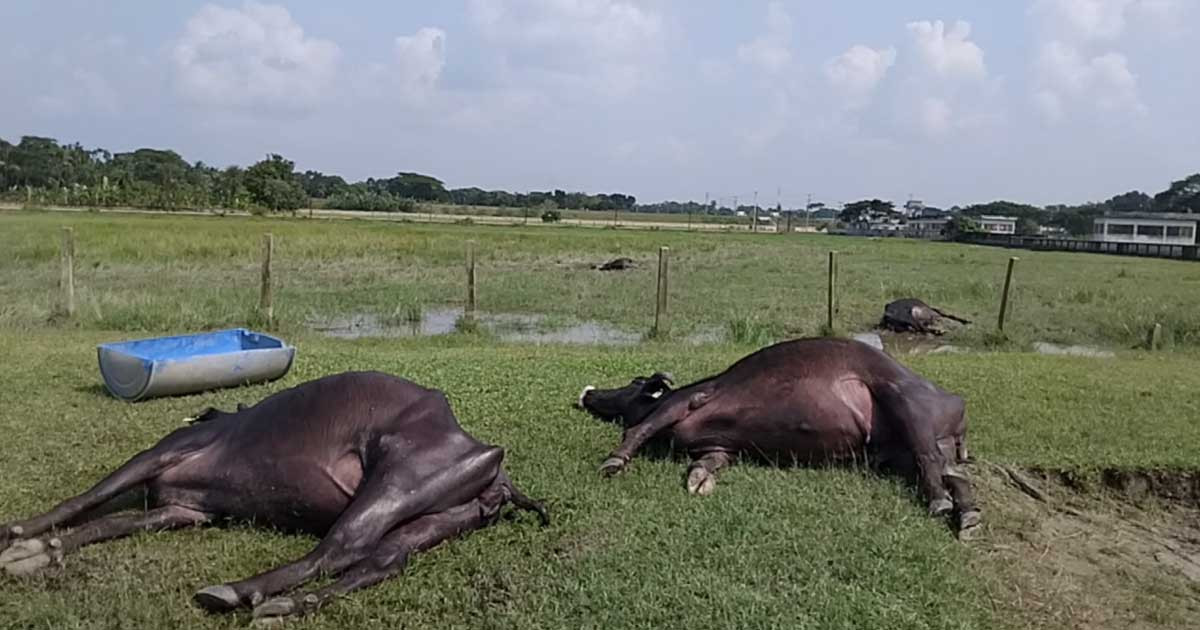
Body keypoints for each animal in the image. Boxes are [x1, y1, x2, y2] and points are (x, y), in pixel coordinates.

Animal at [0, 372, 549, 619]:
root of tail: (495, 466)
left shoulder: (164, 452)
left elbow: (86, 499)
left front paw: (17, 537)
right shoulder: (183, 511)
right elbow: (107, 523)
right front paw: (40, 552)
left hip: (395, 481)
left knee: (338, 549)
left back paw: (236, 591)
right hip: (433, 518)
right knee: (383, 560)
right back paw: (287, 605)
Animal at [576, 336, 979, 532]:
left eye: (635, 383)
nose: (588, 392)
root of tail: (955, 400)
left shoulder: (685, 402)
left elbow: (638, 427)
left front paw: (611, 463)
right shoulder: (722, 447)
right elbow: (710, 462)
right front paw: (698, 481)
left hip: (905, 402)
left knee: (931, 462)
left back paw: (940, 504)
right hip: (912, 449)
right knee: (956, 475)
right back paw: (969, 519)